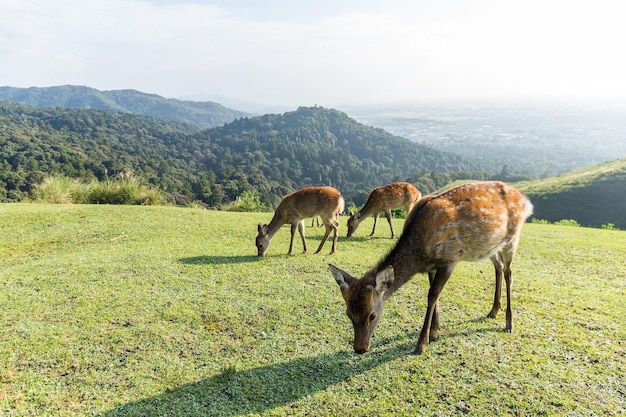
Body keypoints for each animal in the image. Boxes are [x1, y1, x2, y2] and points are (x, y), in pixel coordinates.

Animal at [326, 180, 532, 352]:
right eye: (348, 313)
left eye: (372, 315)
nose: (360, 348)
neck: (420, 252)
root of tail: (526, 201)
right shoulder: (433, 266)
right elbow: (436, 295)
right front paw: (435, 332)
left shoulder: (449, 259)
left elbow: (432, 295)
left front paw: (421, 343)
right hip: (490, 247)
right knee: (498, 266)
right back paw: (493, 311)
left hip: (512, 237)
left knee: (509, 272)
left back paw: (509, 322)